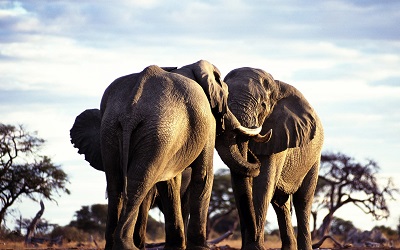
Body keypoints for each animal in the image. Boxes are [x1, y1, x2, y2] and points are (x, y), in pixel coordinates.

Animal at [69, 61, 264, 250]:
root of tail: (130, 111)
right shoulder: (207, 122)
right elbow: (204, 175)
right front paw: (200, 247)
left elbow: (169, 183)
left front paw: (176, 246)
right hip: (158, 131)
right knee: (138, 182)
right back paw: (127, 246)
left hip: (113, 130)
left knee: (115, 182)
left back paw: (113, 245)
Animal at [214, 67, 324, 250]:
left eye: (263, 105)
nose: (251, 155)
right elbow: (240, 186)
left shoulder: (280, 135)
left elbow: (263, 184)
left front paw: (254, 248)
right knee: (281, 203)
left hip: (314, 158)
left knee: (303, 201)